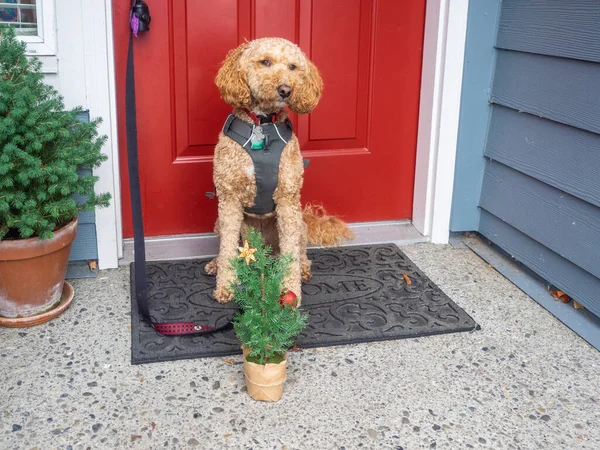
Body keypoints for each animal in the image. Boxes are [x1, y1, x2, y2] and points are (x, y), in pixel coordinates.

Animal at [207, 37, 352, 306]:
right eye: (265, 62)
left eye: (293, 67)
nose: (286, 89)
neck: (262, 125)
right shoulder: (229, 198)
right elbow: (228, 247)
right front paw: (226, 286)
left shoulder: (287, 198)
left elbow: (290, 254)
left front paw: (290, 292)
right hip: (221, 223)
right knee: (227, 246)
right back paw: (215, 263)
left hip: (299, 224)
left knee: (299, 251)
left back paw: (303, 269)